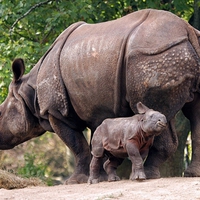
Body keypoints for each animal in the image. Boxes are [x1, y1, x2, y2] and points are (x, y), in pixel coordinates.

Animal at [0, 9, 200, 184]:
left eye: (1, 113)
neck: (28, 93)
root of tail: (187, 29)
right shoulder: (97, 108)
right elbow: (96, 143)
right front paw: (101, 178)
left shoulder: (55, 111)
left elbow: (77, 145)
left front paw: (75, 181)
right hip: (175, 52)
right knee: (194, 112)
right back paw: (192, 174)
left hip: (153, 55)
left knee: (157, 108)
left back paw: (149, 176)